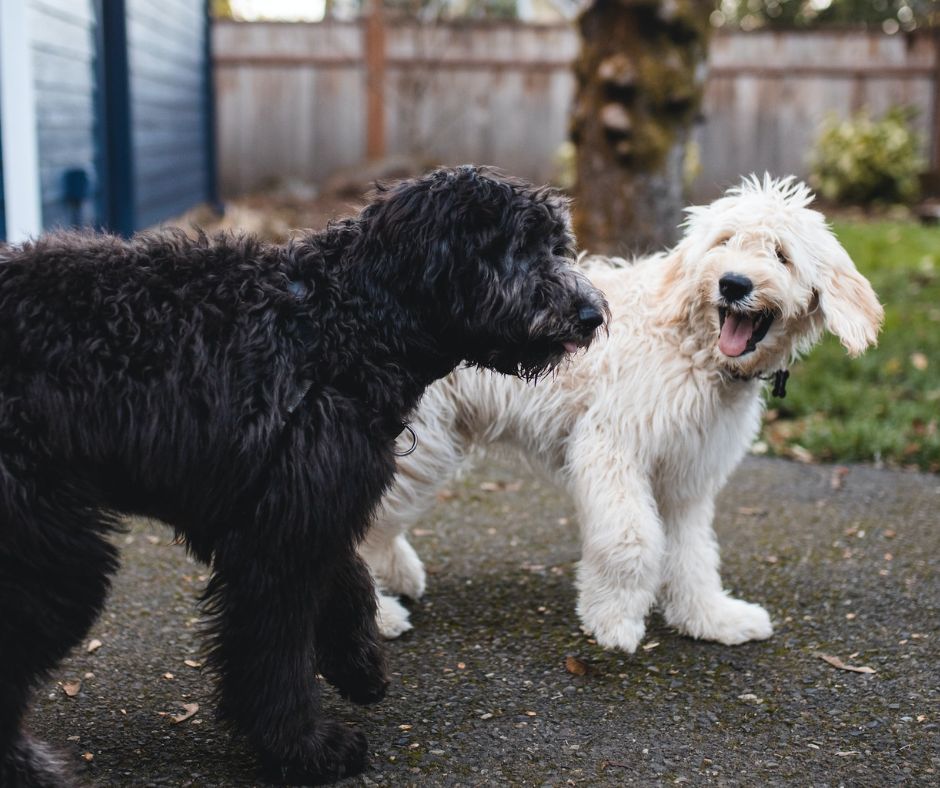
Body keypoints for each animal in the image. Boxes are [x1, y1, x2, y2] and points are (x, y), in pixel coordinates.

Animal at [0, 165, 604, 780]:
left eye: (556, 245)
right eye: (516, 247)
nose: (591, 315)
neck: (337, 328)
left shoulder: (304, 504)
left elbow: (349, 578)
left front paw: (360, 665)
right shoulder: (278, 537)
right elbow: (276, 649)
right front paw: (306, 747)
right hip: (53, 556)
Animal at [362, 177, 880, 652]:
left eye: (781, 254)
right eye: (725, 241)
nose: (733, 284)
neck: (691, 347)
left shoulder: (687, 474)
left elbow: (692, 552)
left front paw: (709, 616)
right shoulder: (611, 446)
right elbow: (631, 540)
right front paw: (613, 620)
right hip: (420, 445)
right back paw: (380, 614)